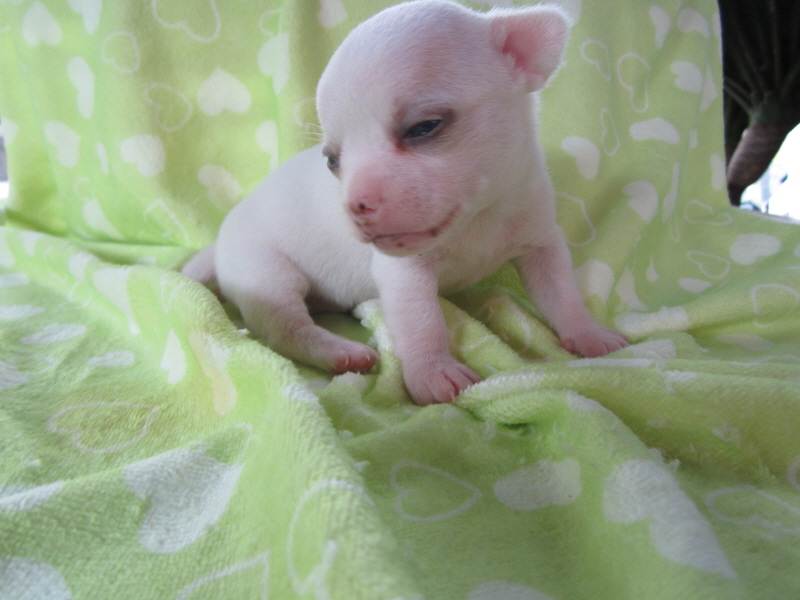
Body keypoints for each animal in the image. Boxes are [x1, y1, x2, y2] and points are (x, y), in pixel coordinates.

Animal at [182, 0, 628, 405]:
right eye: (332, 161)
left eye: (423, 127)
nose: (355, 205)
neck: (477, 219)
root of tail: (220, 242)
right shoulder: (405, 275)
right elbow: (422, 321)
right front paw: (434, 373)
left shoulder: (540, 242)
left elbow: (562, 294)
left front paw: (591, 335)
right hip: (265, 272)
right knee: (283, 329)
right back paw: (339, 352)